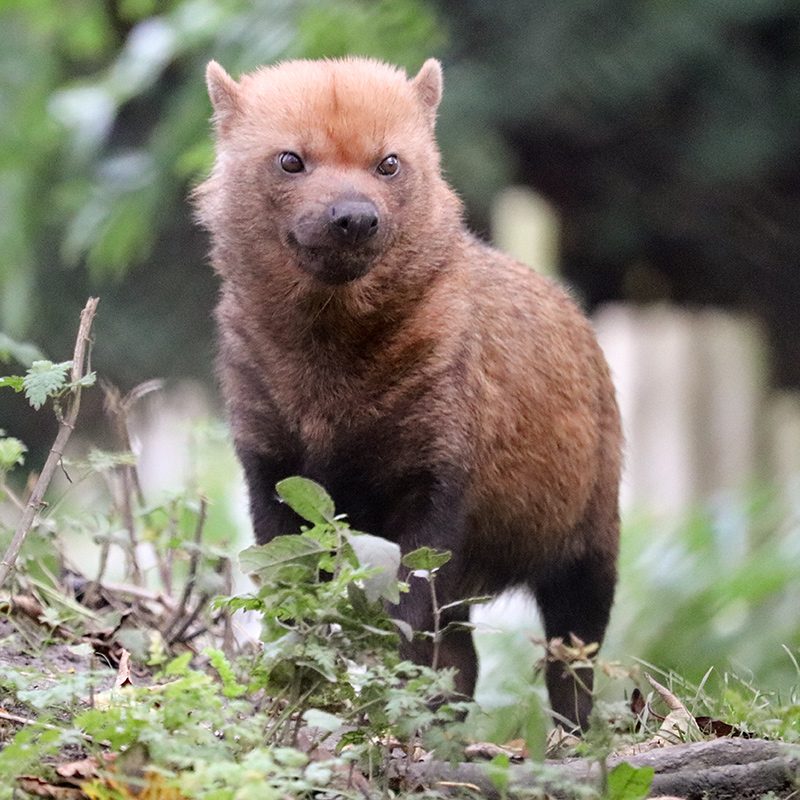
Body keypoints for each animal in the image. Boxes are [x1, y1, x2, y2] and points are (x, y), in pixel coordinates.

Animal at [197, 56, 620, 732]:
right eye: (290, 159)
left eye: (389, 162)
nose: (353, 216)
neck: (329, 386)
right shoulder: (271, 472)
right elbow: (293, 604)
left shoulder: (437, 486)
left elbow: (409, 624)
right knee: (467, 666)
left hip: (589, 553)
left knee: (571, 667)